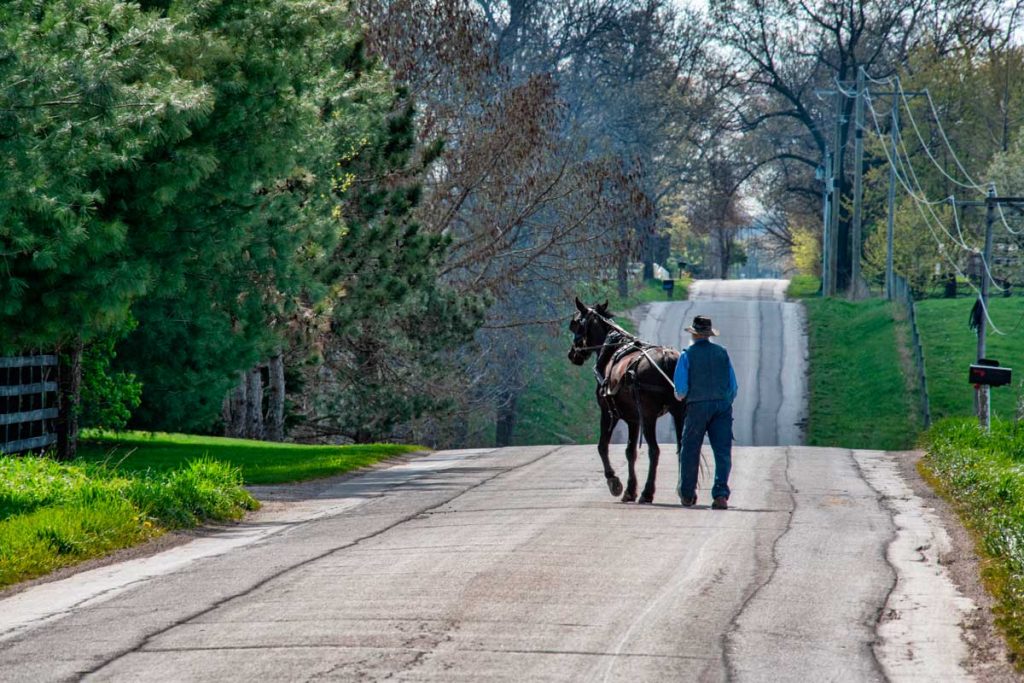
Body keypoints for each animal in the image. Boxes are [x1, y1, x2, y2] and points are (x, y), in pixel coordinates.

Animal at [569, 296, 688, 501]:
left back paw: (648, 492)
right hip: (678, 412)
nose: (572, 354)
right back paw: (684, 491)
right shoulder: (633, 419)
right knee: (682, 447)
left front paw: (614, 482)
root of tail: (667, 359)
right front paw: (630, 490)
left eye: (576, 324)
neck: (614, 348)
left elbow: (602, 446)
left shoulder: (609, 413)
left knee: (654, 450)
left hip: (649, 417)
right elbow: (630, 451)